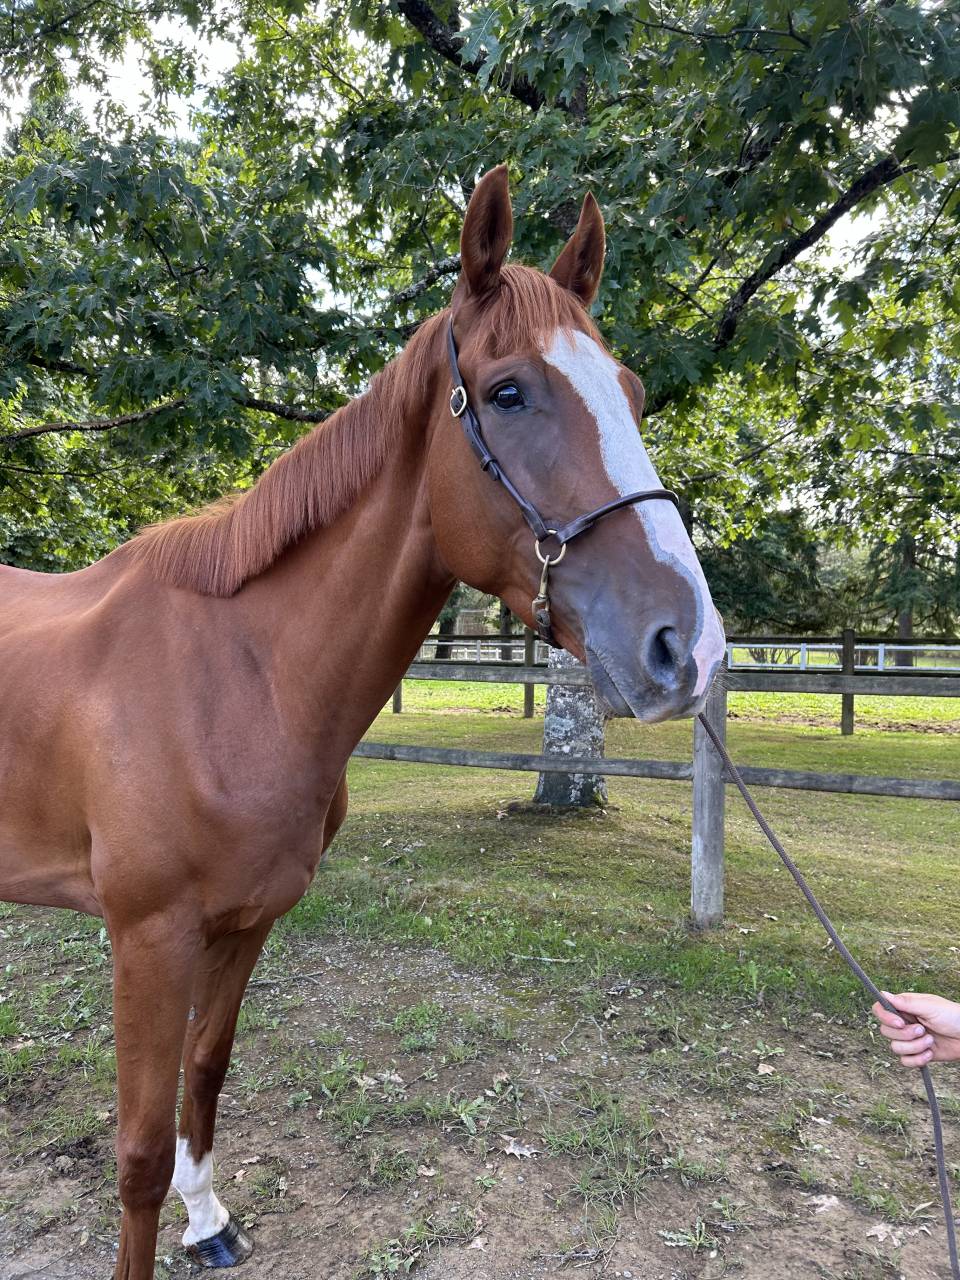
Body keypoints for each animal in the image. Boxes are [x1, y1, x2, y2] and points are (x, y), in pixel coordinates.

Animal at [0, 166, 725, 1277]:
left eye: (635, 392)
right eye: (509, 392)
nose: (687, 646)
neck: (239, 678)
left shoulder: (246, 920)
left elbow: (206, 1074)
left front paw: (208, 1220)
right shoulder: (148, 938)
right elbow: (136, 1153)